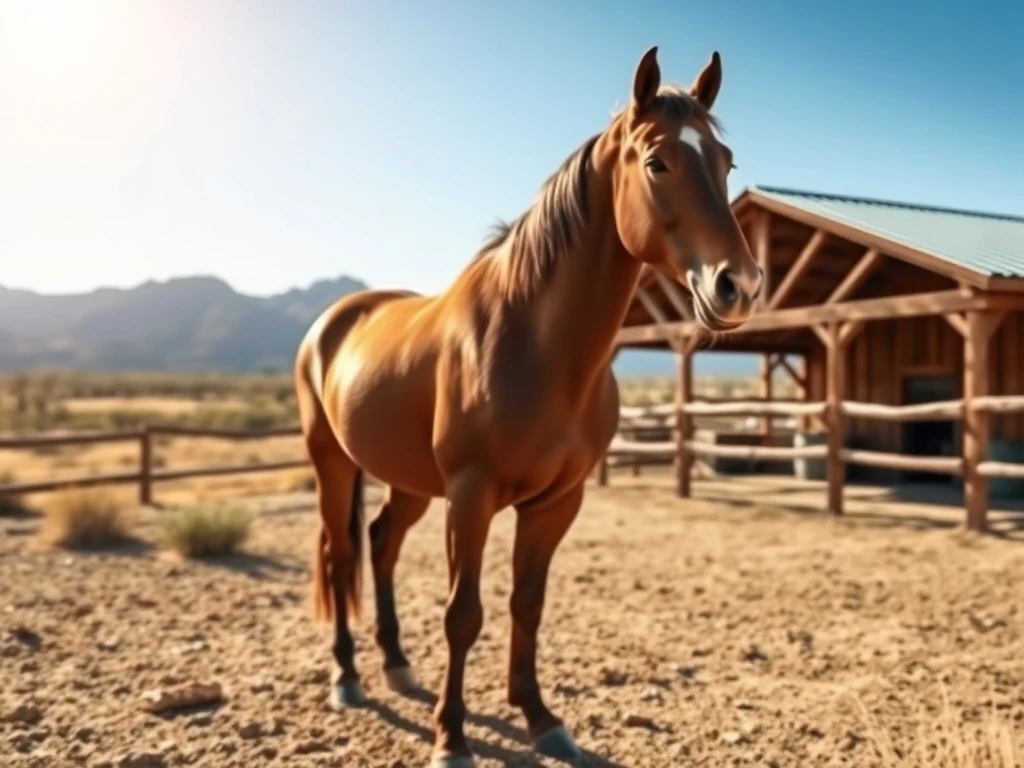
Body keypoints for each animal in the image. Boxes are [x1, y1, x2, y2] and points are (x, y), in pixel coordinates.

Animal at [294, 46, 762, 767]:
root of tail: (334, 321)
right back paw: (346, 677)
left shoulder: (555, 502)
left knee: (380, 543)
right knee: (340, 554)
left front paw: (541, 718)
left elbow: (528, 605)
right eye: (658, 162)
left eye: (726, 162)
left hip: (408, 481)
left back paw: (396, 664)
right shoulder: (471, 495)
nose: (738, 285)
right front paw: (451, 737)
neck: (536, 349)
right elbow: (463, 614)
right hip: (333, 462)